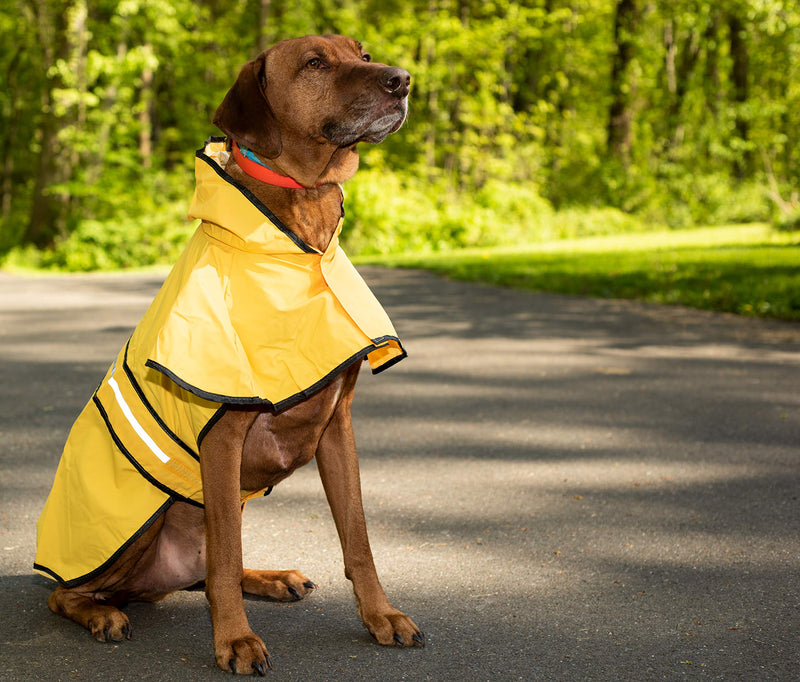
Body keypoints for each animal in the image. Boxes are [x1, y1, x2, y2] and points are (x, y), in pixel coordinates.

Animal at [39, 34, 424, 672]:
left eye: (363, 54)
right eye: (315, 62)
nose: (402, 79)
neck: (298, 230)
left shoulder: (337, 427)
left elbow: (358, 539)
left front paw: (381, 616)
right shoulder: (222, 438)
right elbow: (222, 563)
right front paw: (236, 641)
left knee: (211, 566)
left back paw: (269, 578)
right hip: (137, 528)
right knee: (70, 592)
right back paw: (101, 614)